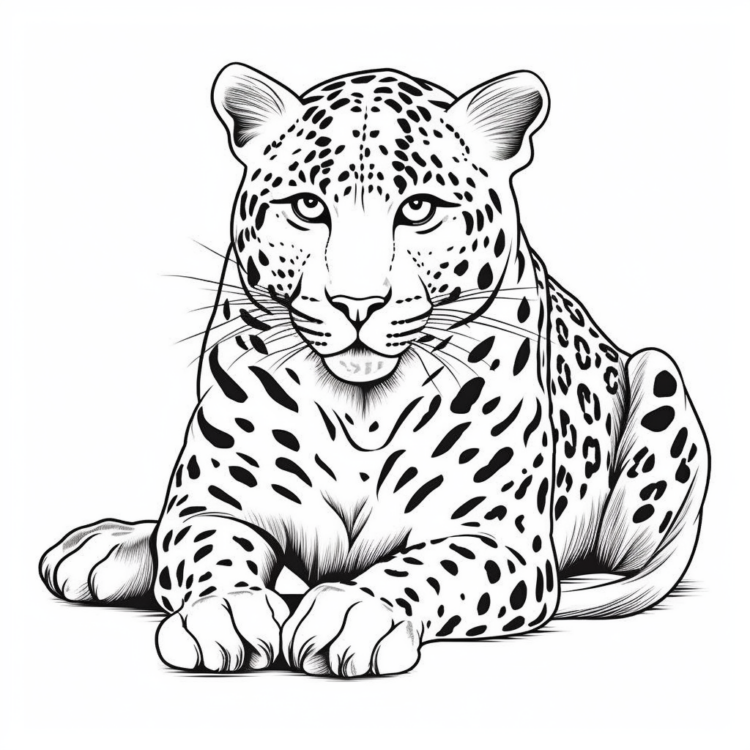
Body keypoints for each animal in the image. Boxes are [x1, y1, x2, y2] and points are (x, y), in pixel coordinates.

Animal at [40, 64, 710, 677]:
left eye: (419, 209)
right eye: (308, 207)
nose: (357, 303)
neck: (362, 410)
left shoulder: (501, 541)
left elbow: (430, 567)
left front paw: (353, 613)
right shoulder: (211, 507)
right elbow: (205, 551)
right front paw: (225, 612)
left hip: (660, 376)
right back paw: (107, 547)